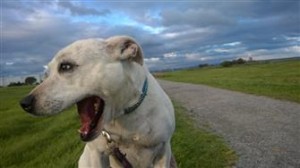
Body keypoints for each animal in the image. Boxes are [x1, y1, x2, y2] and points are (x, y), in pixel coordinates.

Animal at [19, 36, 176, 167]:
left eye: (66, 66)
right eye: (46, 74)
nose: (24, 103)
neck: (125, 116)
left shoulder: (163, 151)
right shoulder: (98, 155)